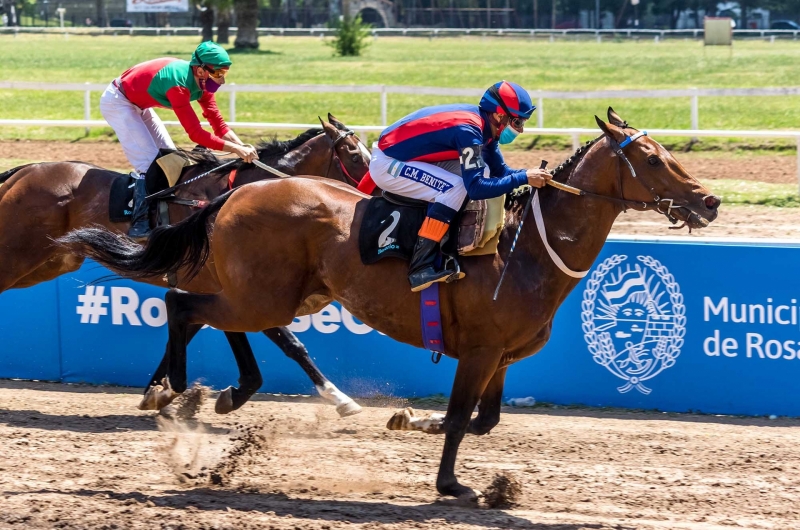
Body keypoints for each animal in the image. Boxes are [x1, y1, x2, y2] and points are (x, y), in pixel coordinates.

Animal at [1, 113, 370, 414]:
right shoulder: (240, 291)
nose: (370, 195)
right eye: (355, 155)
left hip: (49, 264)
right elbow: (290, 343)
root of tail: (23, 171)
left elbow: (181, 333)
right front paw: (339, 398)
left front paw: (156, 392)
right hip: (18, 255)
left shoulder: (216, 288)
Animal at [62, 109, 720, 498]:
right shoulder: (479, 352)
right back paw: (175, 393)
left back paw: (218, 393)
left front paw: (409, 420)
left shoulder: (501, 358)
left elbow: (481, 419)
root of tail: (233, 195)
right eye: (655, 159)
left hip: (275, 293)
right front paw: (452, 485)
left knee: (213, 316)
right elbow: (459, 418)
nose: (710, 201)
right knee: (183, 305)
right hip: (261, 294)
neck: (527, 249)